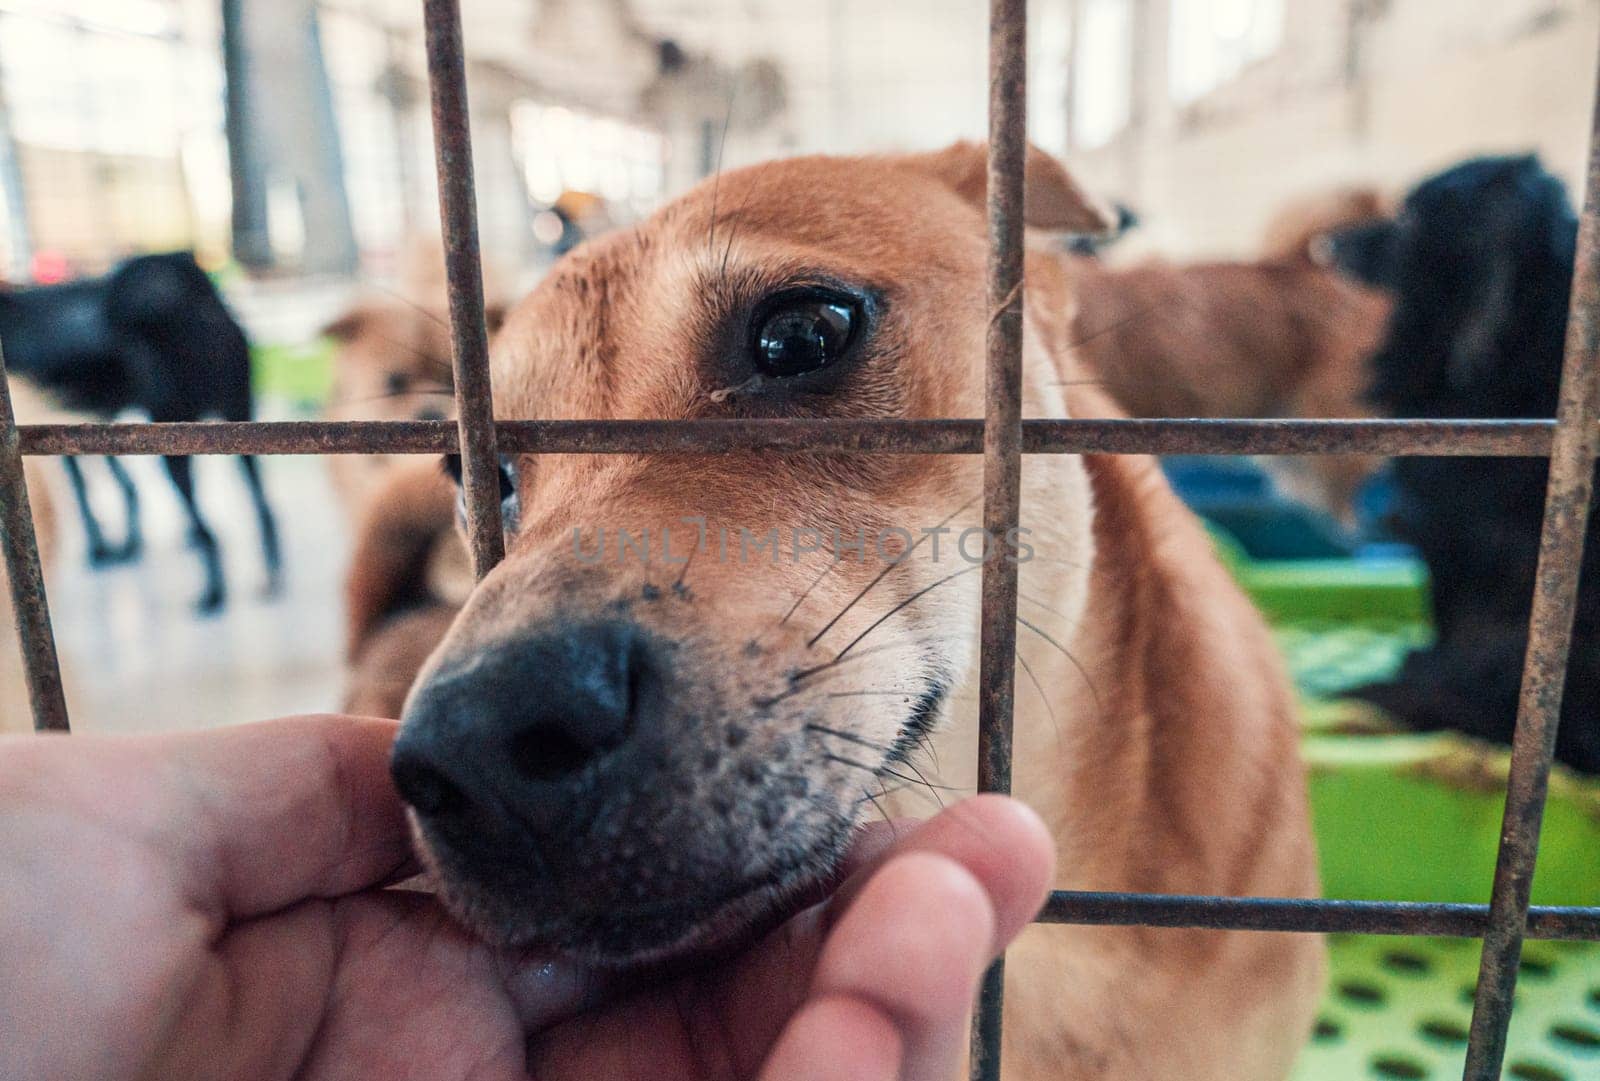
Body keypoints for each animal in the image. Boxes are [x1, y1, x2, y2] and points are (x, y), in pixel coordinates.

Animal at [0, 247, 281, 610]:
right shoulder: (92, 425)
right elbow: (122, 486)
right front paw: (124, 545)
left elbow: (88, 496)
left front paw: (104, 549)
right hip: (238, 420)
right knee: (262, 505)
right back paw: (269, 573)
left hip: (174, 446)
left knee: (210, 530)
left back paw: (213, 593)